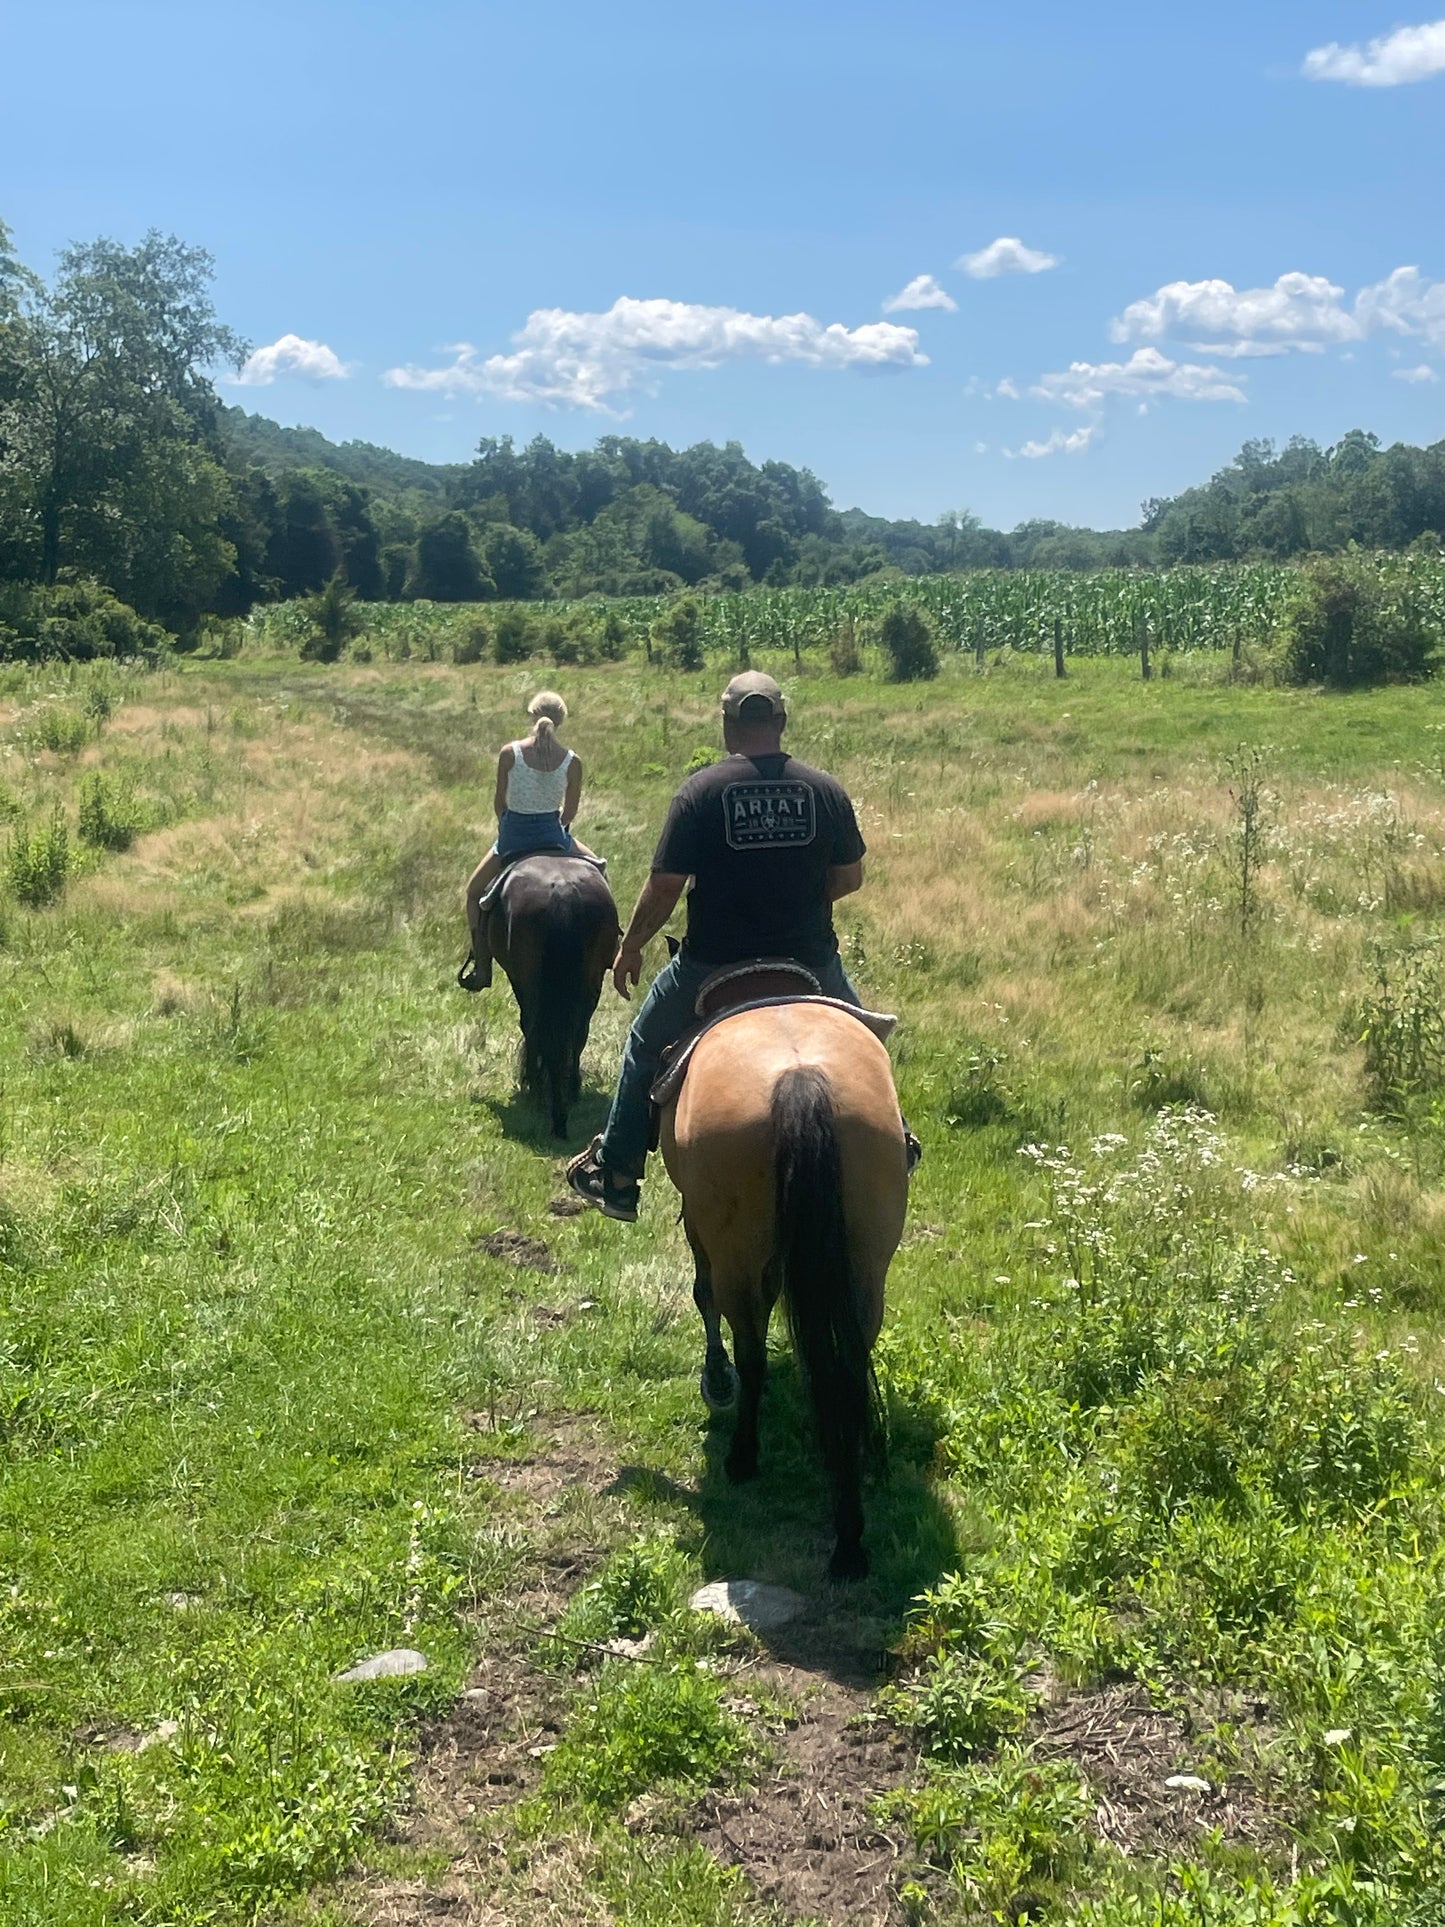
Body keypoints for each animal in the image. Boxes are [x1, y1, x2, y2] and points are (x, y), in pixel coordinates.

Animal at [481, 855, 616, 1133]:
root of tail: (563, 891)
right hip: (590, 980)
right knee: (577, 1031)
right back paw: (567, 1094)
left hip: (530, 982)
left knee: (535, 1028)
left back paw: (538, 1091)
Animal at [658, 963, 909, 1580]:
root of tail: (799, 1077)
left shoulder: (702, 1230)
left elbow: (703, 1297)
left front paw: (715, 1379)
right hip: (866, 1264)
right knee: (850, 1364)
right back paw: (849, 1532)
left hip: (736, 1252)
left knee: (748, 1344)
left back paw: (743, 1457)